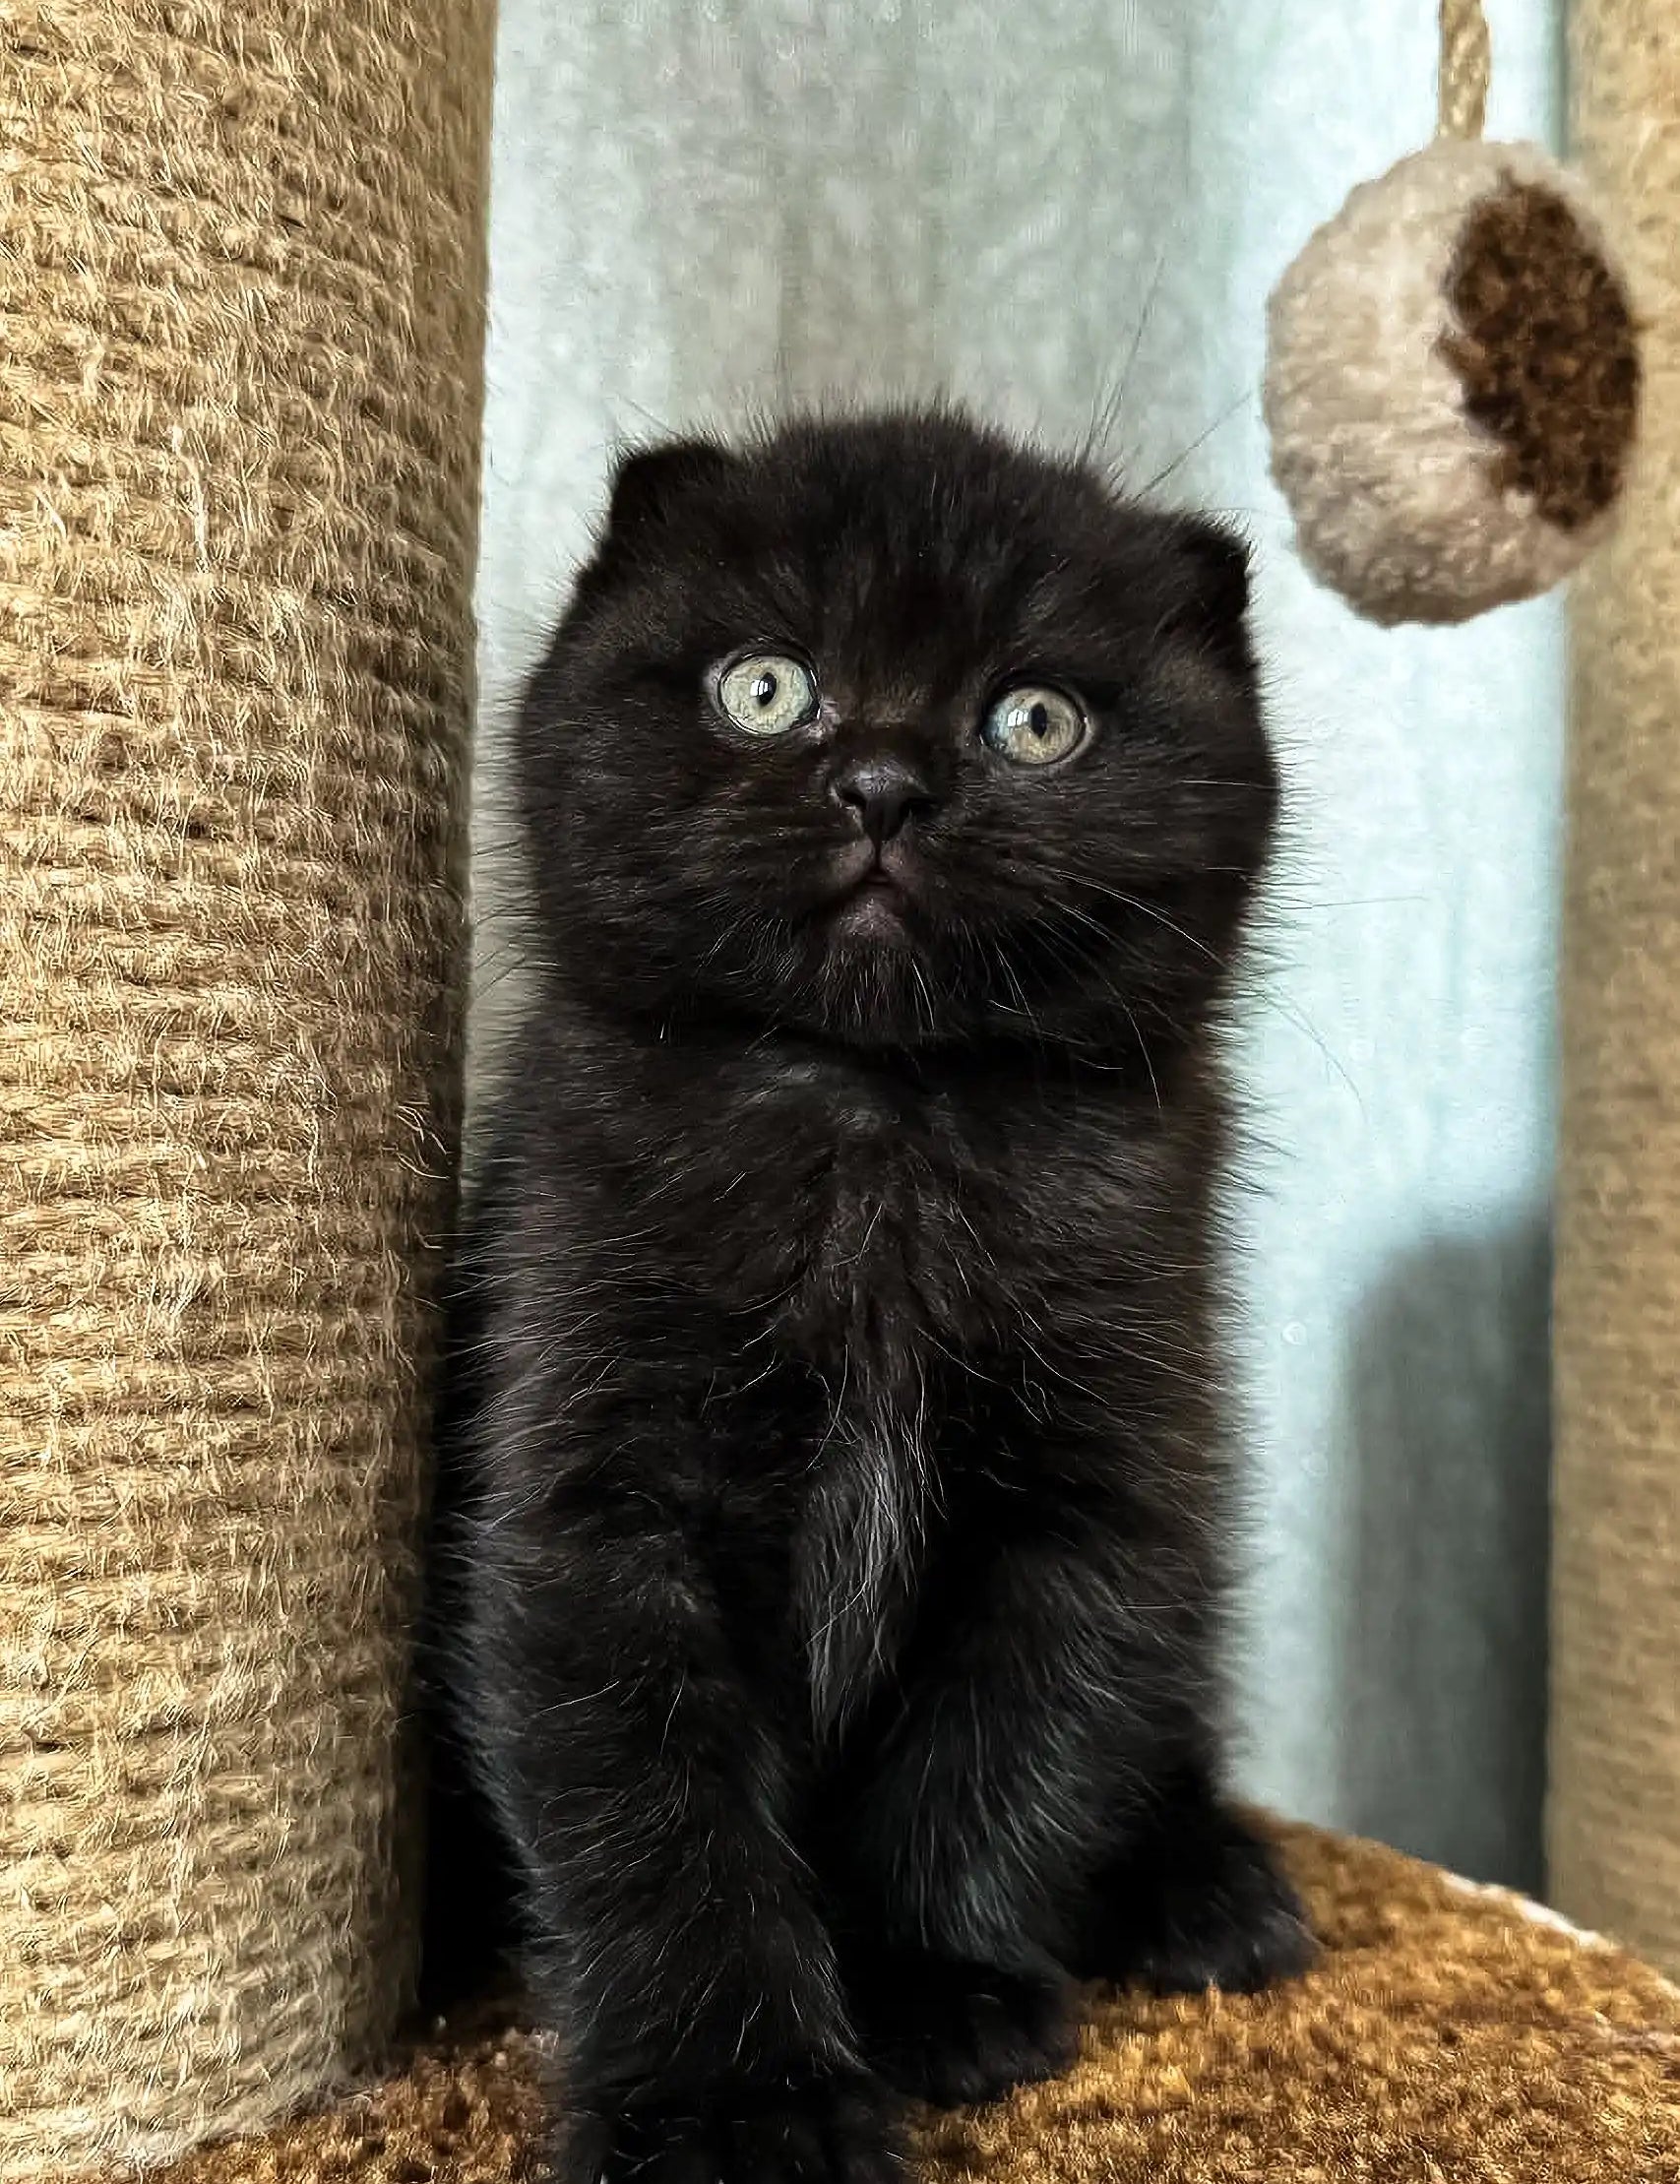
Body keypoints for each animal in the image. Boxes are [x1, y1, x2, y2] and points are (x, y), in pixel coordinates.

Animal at [428, 406, 1293, 2184]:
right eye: (765, 686)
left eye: (1034, 719)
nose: (884, 779)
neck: (881, 1114)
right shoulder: (593, 1484)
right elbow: (650, 1807)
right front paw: (728, 2106)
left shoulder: (1094, 1489)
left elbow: (1016, 1731)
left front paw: (928, 1983)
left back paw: (1204, 1881)